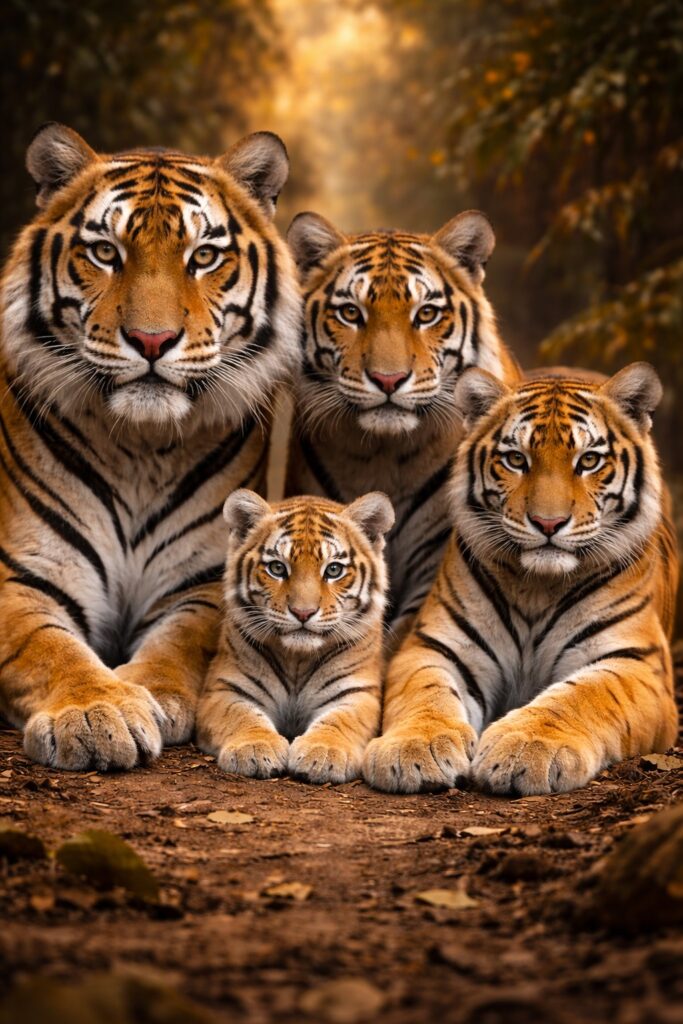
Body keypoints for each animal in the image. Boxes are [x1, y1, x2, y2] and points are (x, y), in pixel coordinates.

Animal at [0, 122, 301, 770]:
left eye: (204, 256)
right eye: (105, 253)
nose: (152, 340)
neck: (141, 445)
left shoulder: (204, 582)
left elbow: (181, 644)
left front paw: (152, 693)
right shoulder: (22, 574)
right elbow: (47, 646)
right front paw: (96, 711)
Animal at [196, 489, 394, 782]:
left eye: (333, 570)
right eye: (277, 568)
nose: (303, 612)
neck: (298, 659)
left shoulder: (357, 692)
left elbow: (339, 720)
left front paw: (324, 752)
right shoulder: (225, 687)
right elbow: (241, 715)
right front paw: (256, 747)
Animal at [363, 362, 679, 795]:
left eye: (589, 461)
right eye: (515, 459)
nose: (548, 523)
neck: (539, 587)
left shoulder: (637, 663)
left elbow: (582, 696)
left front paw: (527, 747)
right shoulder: (434, 646)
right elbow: (427, 695)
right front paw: (415, 747)